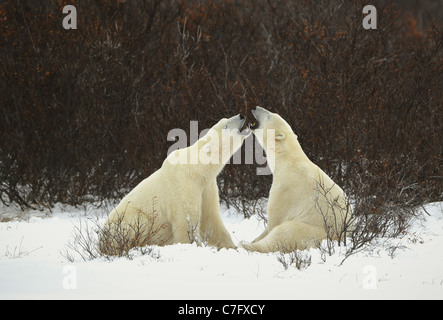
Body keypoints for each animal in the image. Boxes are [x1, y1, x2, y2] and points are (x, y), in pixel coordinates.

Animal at [100, 114, 250, 255]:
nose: (242, 115)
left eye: (226, 119)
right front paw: (193, 246)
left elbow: (210, 219)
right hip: (127, 222)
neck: (197, 168)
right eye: (225, 125)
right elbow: (186, 219)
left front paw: (233, 247)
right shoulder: (183, 183)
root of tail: (101, 243)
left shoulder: (206, 186)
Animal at [241, 107, 352, 252]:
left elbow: (274, 221)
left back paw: (244, 244)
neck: (288, 160)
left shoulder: (286, 190)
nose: (255, 107)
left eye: (269, 115)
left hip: (313, 232)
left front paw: (253, 241)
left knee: (284, 232)